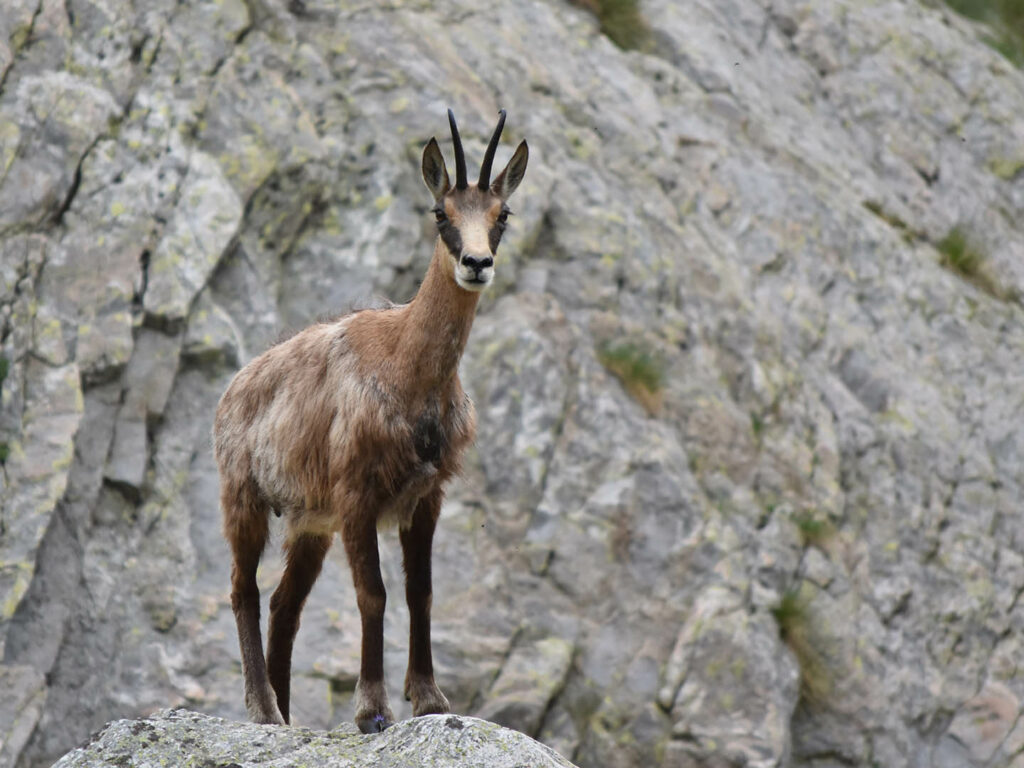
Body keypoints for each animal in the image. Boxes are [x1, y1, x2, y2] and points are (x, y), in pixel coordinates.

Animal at [213, 110, 528, 733]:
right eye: (441, 213)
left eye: (502, 214)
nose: (477, 264)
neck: (407, 369)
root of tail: (234, 387)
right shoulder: (357, 493)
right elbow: (373, 594)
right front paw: (373, 710)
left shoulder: (426, 496)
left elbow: (421, 591)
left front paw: (429, 697)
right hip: (245, 496)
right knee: (243, 590)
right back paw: (263, 709)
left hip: (309, 523)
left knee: (286, 604)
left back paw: (287, 713)